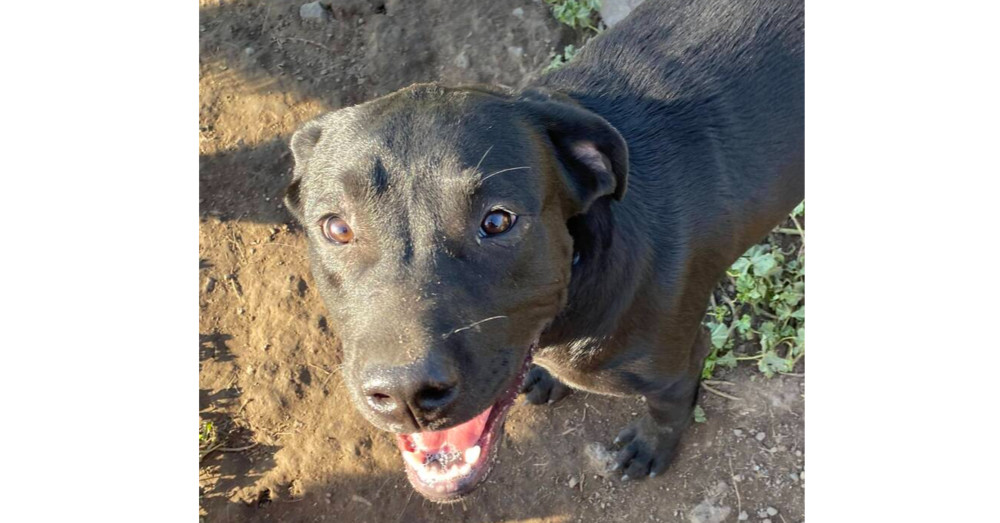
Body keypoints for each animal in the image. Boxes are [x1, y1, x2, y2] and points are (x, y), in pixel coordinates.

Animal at [282, 0, 804, 504]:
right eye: (337, 228)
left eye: (497, 221)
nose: (405, 393)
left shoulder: (681, 361)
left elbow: (669, 408)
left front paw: (651, 447)